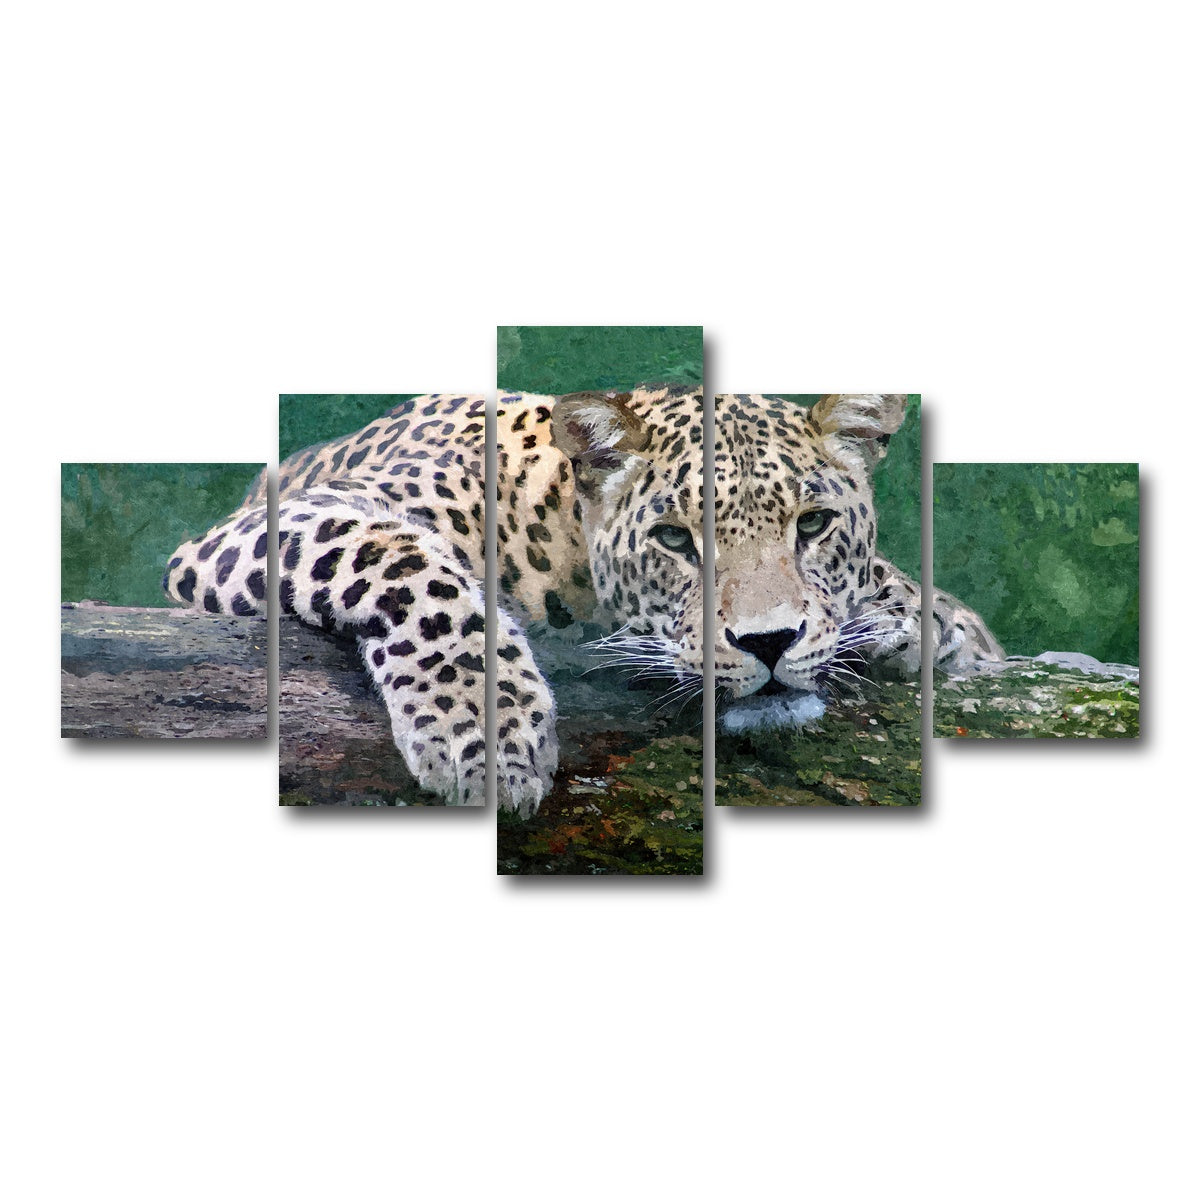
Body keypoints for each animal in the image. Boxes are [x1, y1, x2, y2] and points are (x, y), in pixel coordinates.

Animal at [163, 387, 1002, 815]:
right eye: (673, 539)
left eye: (815, 525)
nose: (768, 644)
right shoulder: (274, 525)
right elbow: (411, 565)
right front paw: (487, 738)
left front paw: (914, 620)